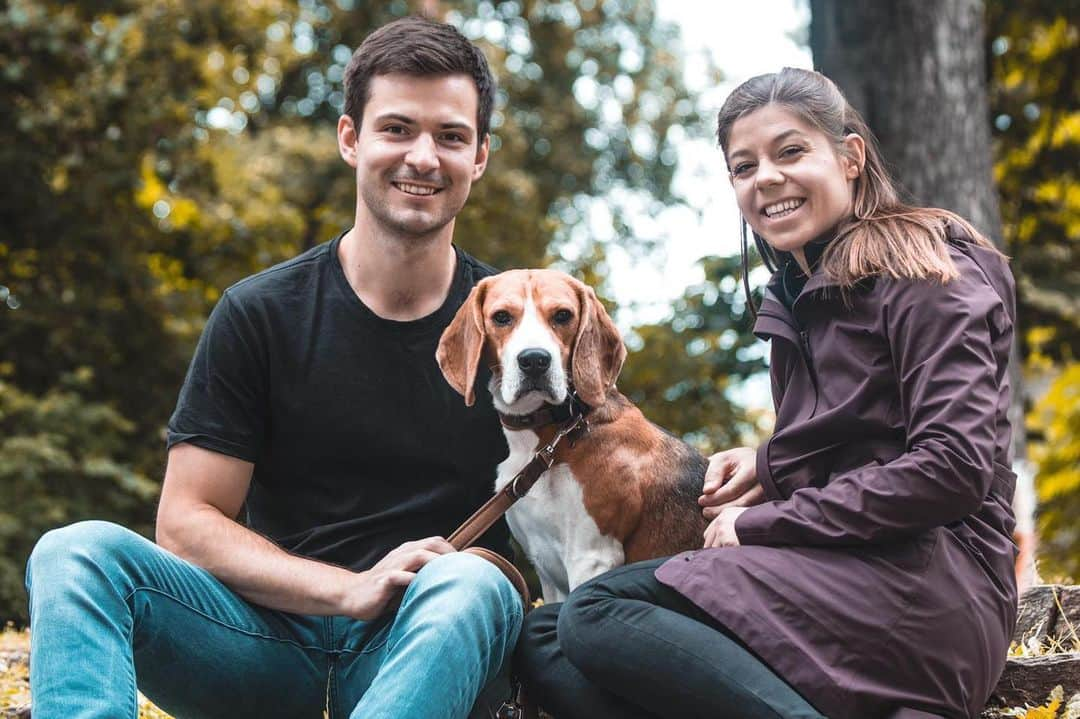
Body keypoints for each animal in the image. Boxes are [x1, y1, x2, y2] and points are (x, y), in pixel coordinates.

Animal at [438, 268, 708, 600]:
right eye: (501, 317)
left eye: (562, 315)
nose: (535, 360)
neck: (558, 431)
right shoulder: (547, 573)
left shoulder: (590, 558)